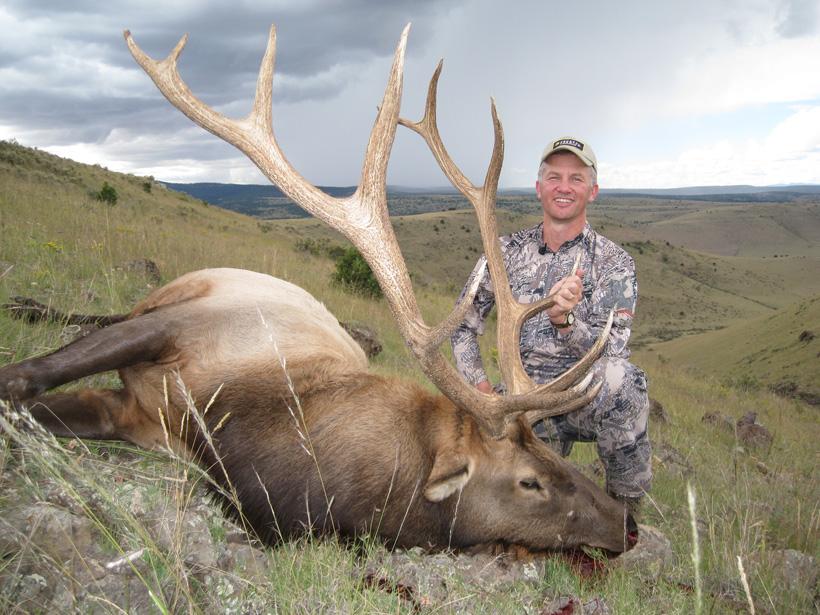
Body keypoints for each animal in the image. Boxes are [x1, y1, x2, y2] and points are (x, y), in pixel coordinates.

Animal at [0, 24, 638, 556]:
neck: (240, 431)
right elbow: (22, 377)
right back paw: (24, 305)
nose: (626, 524)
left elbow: (37, 402)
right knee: (89, 318)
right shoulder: (182, 328)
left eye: (554, 454)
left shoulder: (135, 417)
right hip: (173, 297)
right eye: (530, 481)